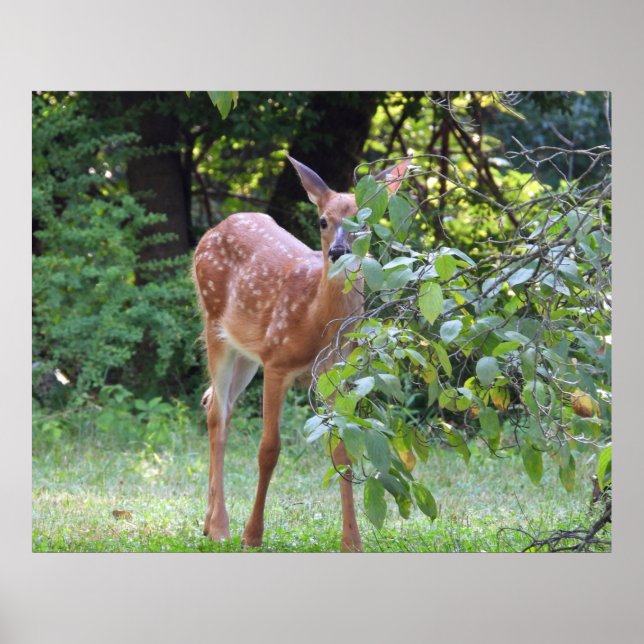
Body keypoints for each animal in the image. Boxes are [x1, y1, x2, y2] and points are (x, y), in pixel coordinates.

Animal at [193, 155, 409, 552]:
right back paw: (220, 527)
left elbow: (342, 451)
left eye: (365, 220)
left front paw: (352, 540)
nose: (338, 252)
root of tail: (215, 228)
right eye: (323, 220)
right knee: (217, 411)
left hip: (246, 351)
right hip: (215, 325)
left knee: (214, 400)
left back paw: (208, 521)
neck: (314, 319)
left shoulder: (335, 372)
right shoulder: (276, 362)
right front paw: (253, 535)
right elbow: (268, 449)